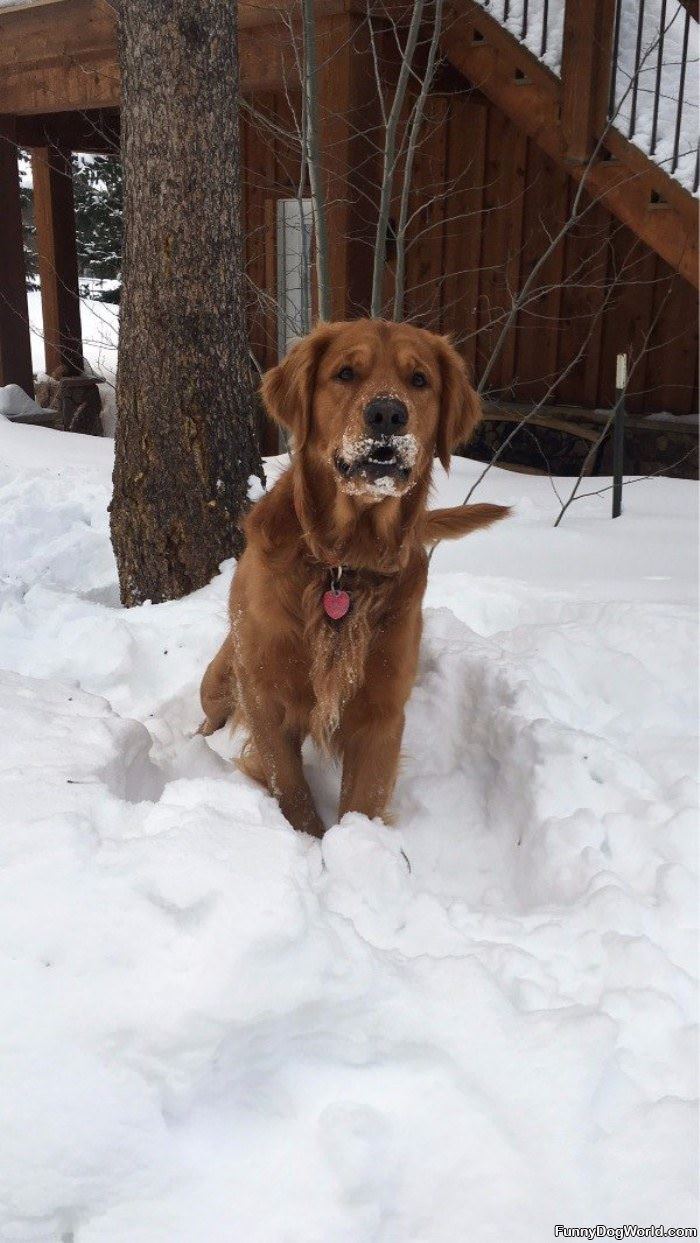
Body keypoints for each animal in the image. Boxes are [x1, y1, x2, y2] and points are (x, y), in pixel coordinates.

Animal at [200, 320, 507, 840]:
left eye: (419, 380)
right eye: (345, 373)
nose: (387, 413)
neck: (342, 564)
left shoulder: (381, 712)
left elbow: (362, 804)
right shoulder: (264, 695)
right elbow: (292, 792)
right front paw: (310, 840)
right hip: (218, 679)